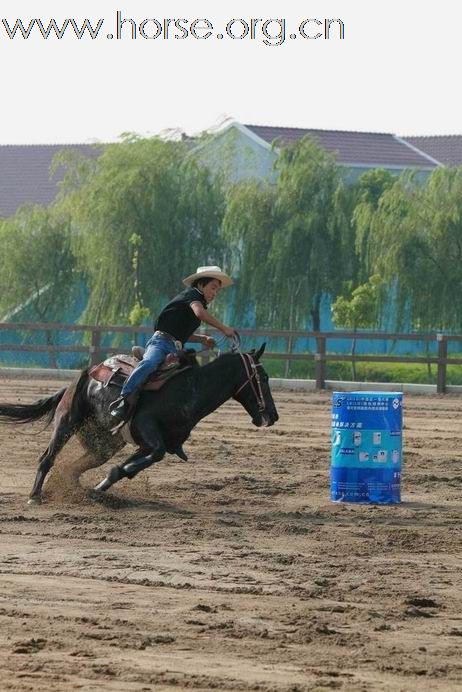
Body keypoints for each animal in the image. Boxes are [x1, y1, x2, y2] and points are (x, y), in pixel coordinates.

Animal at [0, 344, 278, 502]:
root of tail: (85, 374)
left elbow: (132, 465)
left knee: (75, 467)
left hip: (103, 445)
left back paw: (71, 490)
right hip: (66, 422)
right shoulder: (147, 430)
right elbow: (154, 455)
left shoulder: (146, 443)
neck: (190, 389)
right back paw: (35, 496)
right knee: (47, 458)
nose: (273, 416)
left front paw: (101, 486)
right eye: (263, 376)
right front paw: (105, 483)